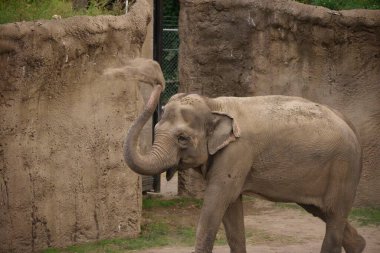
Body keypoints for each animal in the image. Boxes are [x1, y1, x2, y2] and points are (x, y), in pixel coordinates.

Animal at [124, 59, 366, 253]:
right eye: (157, 129)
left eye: (182, 138)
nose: (156, 77)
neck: (213, 104)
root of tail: (351, 126)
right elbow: (232, 212)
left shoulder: (237, 152)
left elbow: (217, 200)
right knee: (321, 210)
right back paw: (359, 245)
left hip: (344, 168)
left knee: (334, 216)